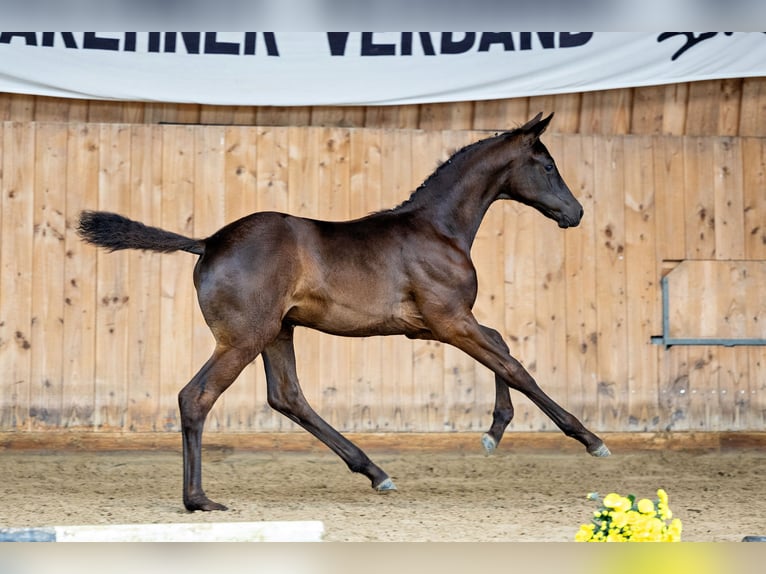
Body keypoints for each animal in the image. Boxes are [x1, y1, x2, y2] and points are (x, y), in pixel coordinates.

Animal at [75, 112, 608, 512]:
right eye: (548, 166)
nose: (576, 212)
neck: (438, 228)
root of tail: (208, 242)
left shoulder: (429, 326)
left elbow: (500, 343)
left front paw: (495, 431)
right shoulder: (449, 320)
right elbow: (515, 365)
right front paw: (589, 438)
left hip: (278, 332)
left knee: (287, 397)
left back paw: (375, 472)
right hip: (244, 338)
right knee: (197, 396)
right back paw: (199, 500)